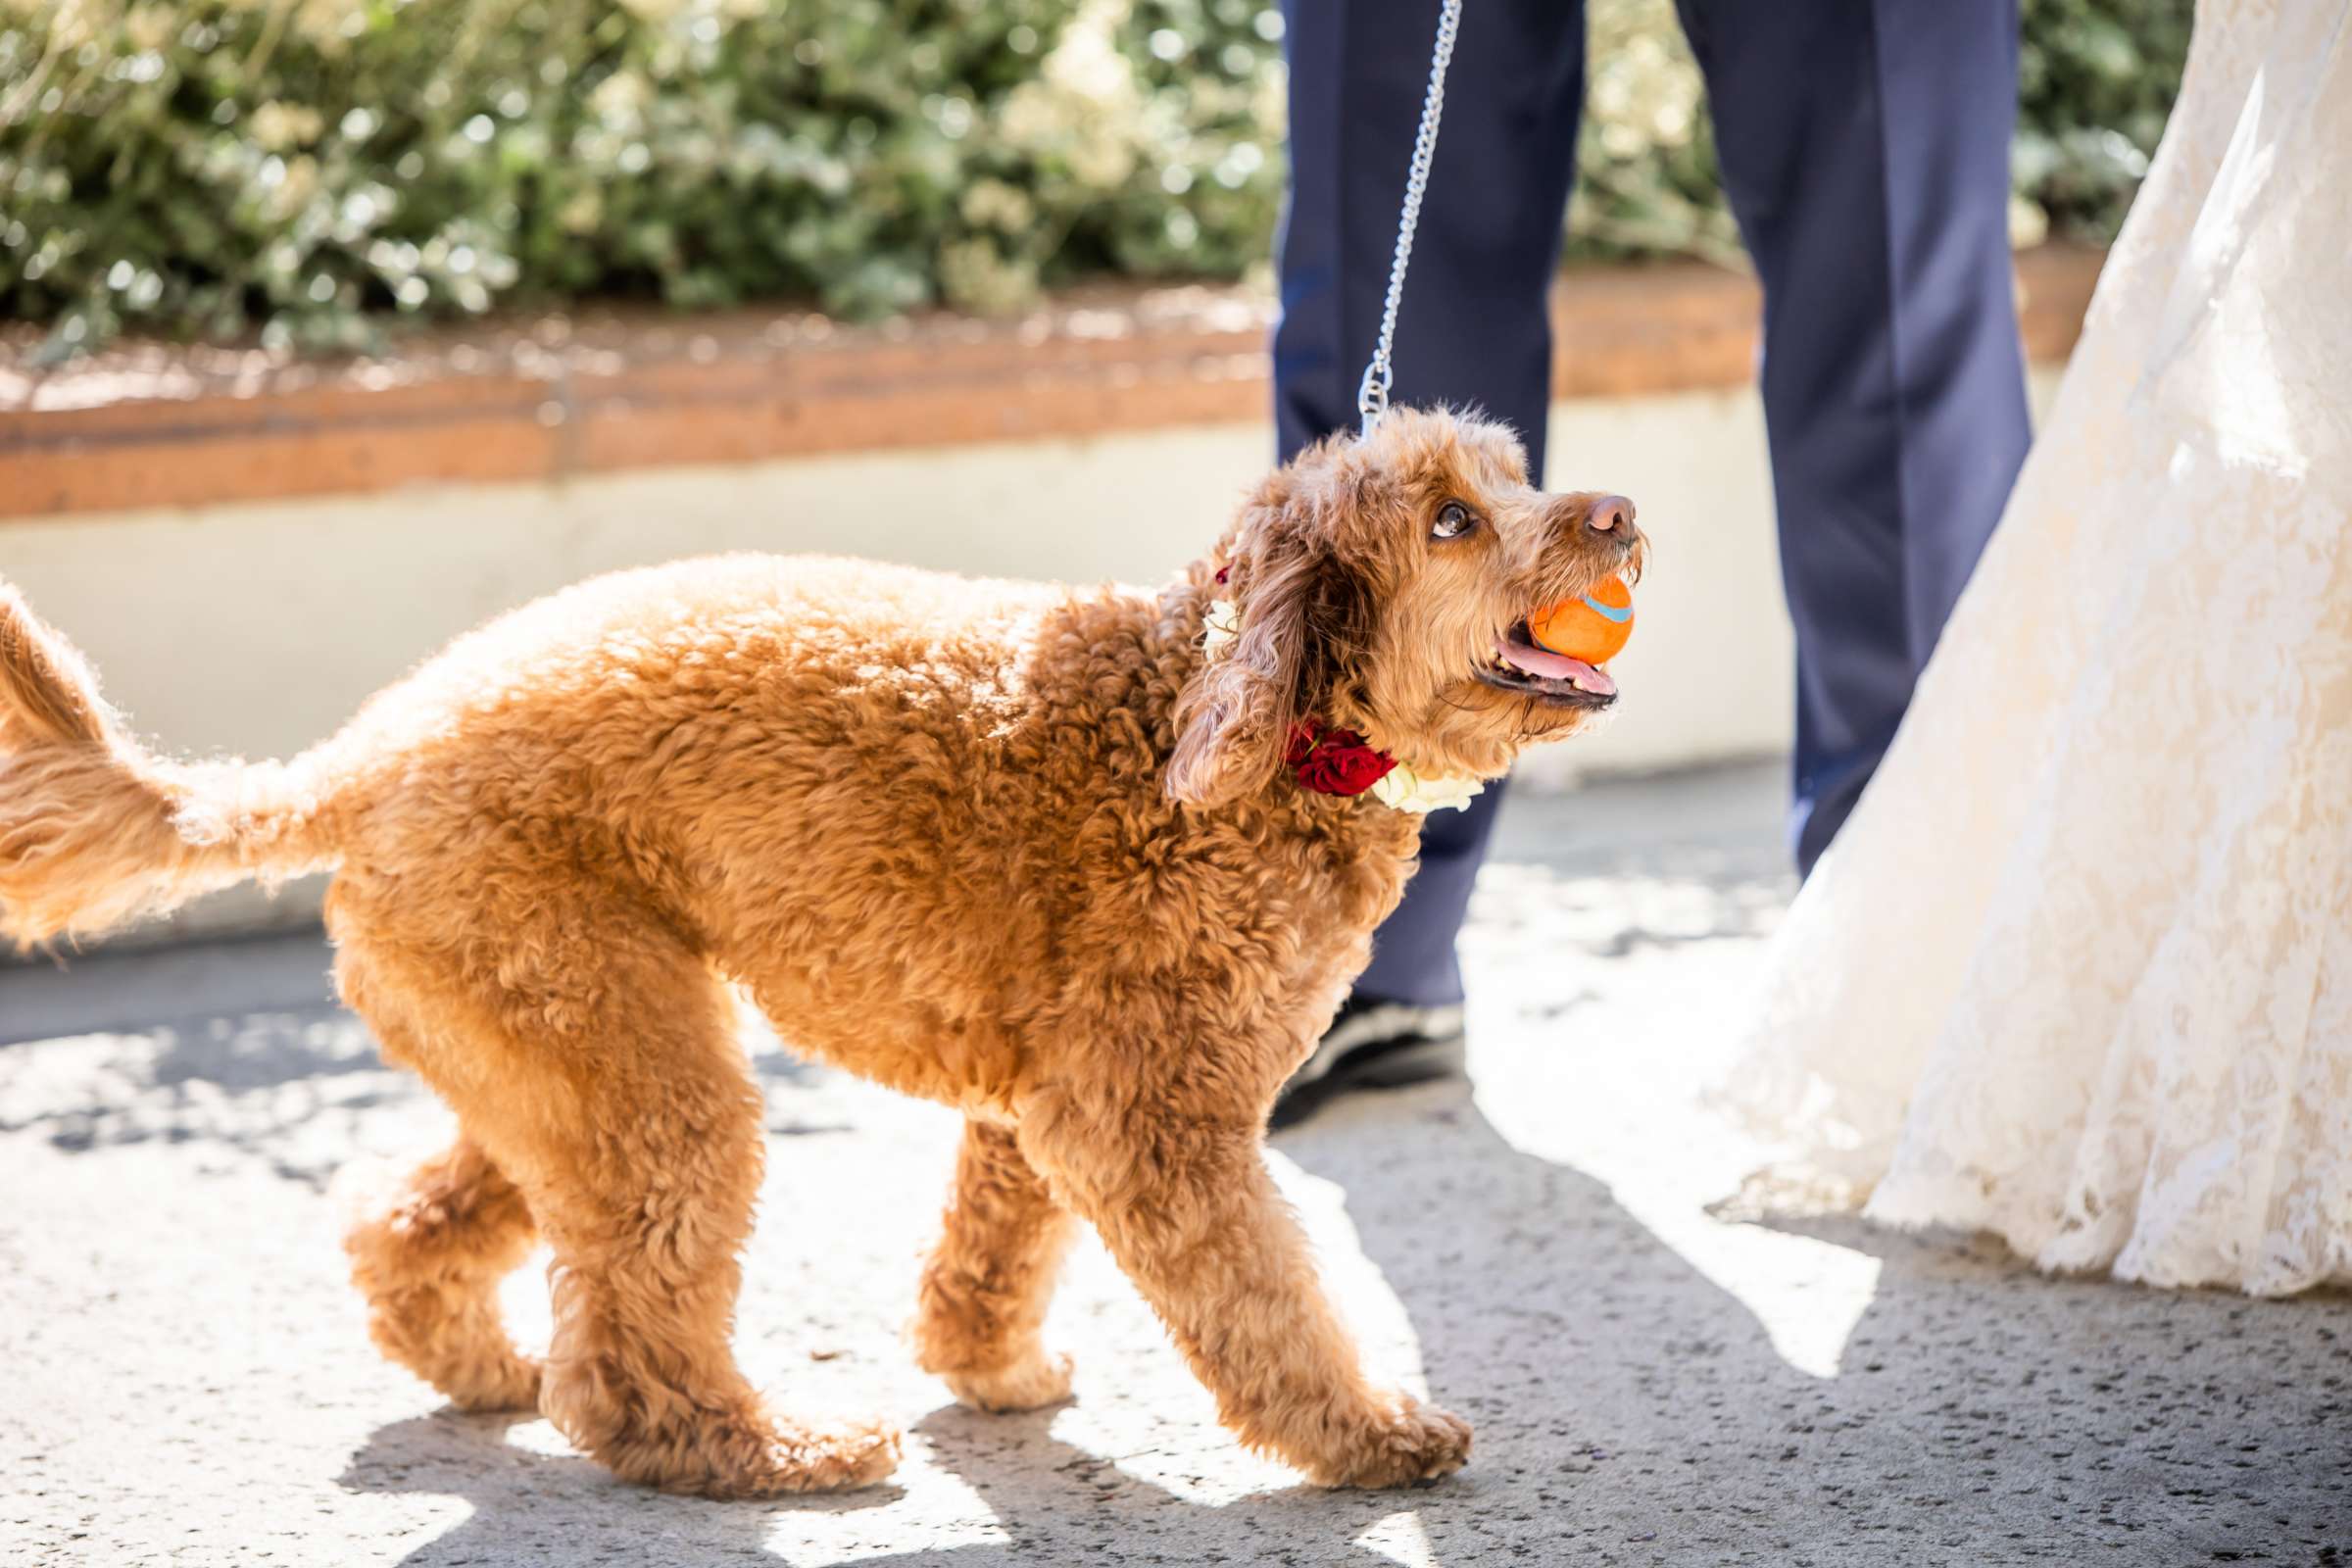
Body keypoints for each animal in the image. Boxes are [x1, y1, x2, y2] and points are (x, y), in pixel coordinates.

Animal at [0, 404, 1646, 1494]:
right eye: (1451, 520)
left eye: (1516, 477)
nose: (1621, 516)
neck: (1234, 724)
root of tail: (365, 756)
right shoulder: (1146, 1114)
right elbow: (1265, 1300)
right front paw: (1369, 1438)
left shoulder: (1034, 1102)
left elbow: (992, 1251)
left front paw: (993, 1372)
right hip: (631, 1056)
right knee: (629, 1346)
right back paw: (759, 1449)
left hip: (551, 1047)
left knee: (418, 1221)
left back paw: (480, 1366)